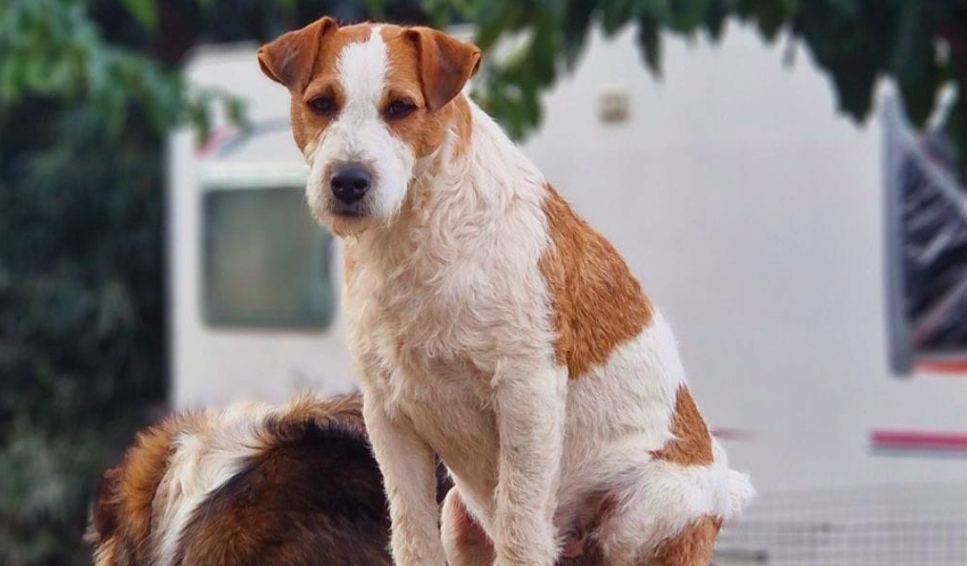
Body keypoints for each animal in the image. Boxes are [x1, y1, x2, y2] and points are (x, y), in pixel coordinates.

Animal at [260, 15, 760, 566]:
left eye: (400, 107)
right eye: (322, 103)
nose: (349, 181)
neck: (419, 232)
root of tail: (725, 492)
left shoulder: (527, 392)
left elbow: (520, 525)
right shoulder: (388, 414)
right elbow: (412, 533)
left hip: (638, 511)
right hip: (458, 514)